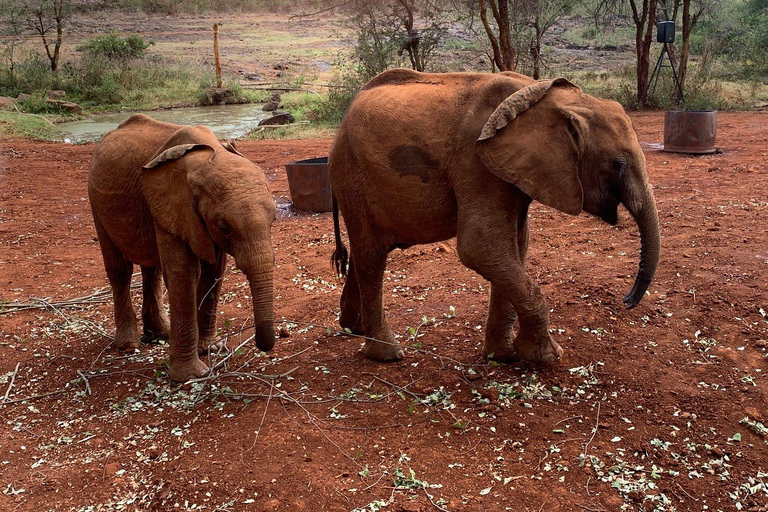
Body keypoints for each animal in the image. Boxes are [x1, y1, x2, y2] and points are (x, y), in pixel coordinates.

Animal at [89, 115, 278, 380]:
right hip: (96, 202)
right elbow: (183, 272)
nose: (264, 346)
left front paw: (211, 348)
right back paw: (128, 345)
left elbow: (214, 270)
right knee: (120, 270)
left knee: (153, 268)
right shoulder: (171, 205)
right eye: (224, 227)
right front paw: (190, 375)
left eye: (274, 220)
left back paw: (161, 334)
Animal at [330, 69, 660, 364]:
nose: (626, 300)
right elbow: (481, 248)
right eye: (618, 164)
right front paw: (547, 357)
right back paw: (387, 354)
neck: (545, 98)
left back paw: (352, 327)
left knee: (363, 254)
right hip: (353, 176)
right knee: (372, 257)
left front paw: (504, 356)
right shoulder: (476, 162)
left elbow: (515, 247)